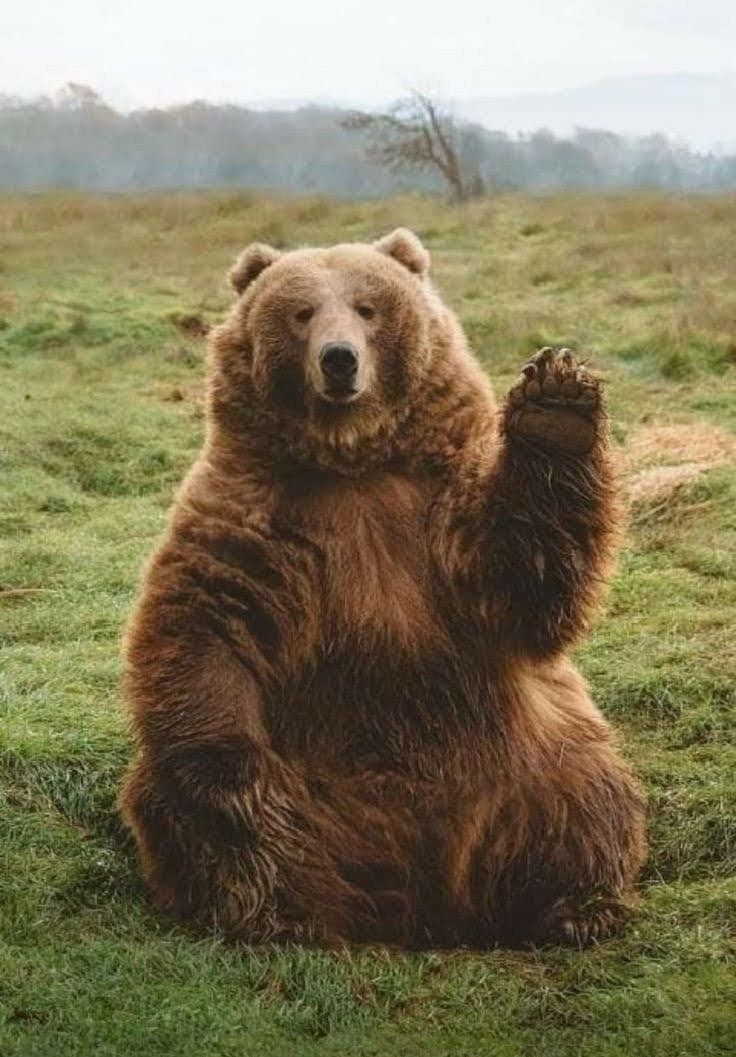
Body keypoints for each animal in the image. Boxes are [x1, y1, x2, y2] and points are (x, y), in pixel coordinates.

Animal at [119, 227, 642, 947]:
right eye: (301, 311)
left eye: (368, 307)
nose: (339, 360)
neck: (353, 462)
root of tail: (421, 896)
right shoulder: (252, 518)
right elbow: (203, 626)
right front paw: (232, 776)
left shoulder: (439, 514)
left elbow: (524, 578)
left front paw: (556, 403)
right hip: (315, 788)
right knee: (207, 826)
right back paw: (279, 912)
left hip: (526, 760)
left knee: (582, 796)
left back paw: (574, 906)